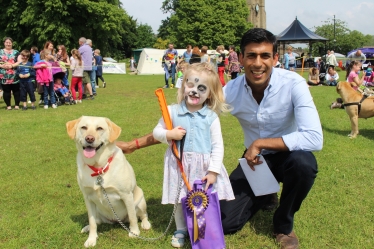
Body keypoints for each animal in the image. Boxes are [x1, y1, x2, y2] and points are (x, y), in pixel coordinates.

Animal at [66, 116, 151, 247]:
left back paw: (145, 224)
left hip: (140, 201)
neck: (99, 168)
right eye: (83, 127)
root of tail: (116, 220)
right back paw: (86, 228)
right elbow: (92, 222)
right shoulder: (88, 198)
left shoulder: (126, 195)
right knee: (97, 221)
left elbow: (132, 217)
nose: (89, 138)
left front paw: (134, 232)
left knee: (142, 215)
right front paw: (91, 239)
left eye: (99, 128)